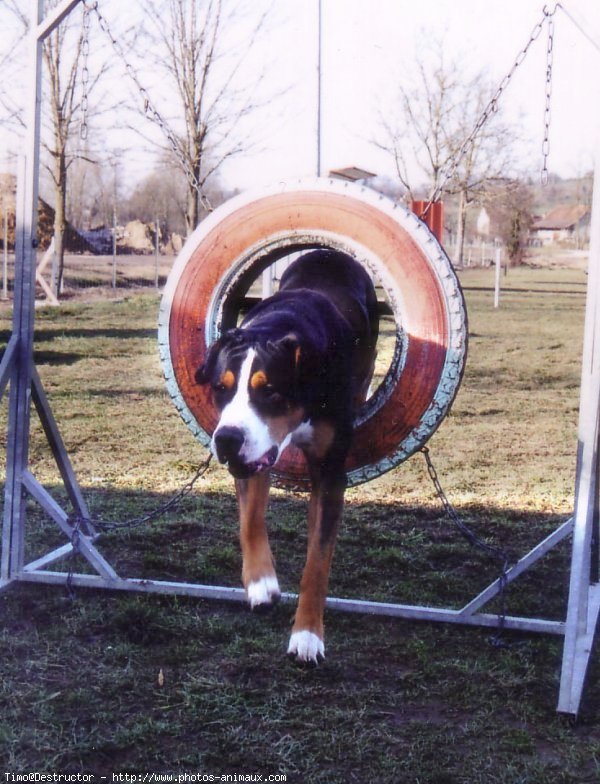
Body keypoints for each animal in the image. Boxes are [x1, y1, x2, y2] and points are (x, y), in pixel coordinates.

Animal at [196, 248, 380, 660]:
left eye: (271, 392)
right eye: (220, 388)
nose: (226, 439)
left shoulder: (330, 470)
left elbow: (317, 562)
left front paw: (308, 635)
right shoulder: (251, 459)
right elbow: (250, 519)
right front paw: (261, 583)